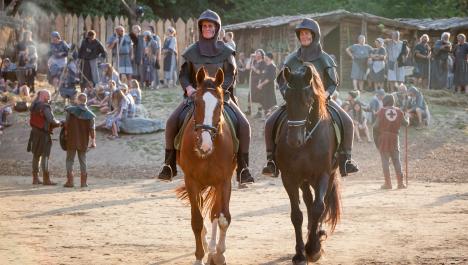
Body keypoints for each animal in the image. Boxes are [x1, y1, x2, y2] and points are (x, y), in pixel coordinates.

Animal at [176, 67, 236, 264]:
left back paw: (212, 249)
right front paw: (199, 256)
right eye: (196, 102)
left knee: (215, 213)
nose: (205, 144)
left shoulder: (224, 182)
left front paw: (219, 254)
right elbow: (197, 220)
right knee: (202, 212)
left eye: (220, 104)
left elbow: (223, 218)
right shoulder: (191, 182)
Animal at [276, 65, 342, 262]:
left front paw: (313, 249)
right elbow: (297, 215)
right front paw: (300, 252)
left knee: (321, 203)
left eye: (308, 100)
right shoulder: (289, 178)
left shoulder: (323, 175)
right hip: (304, 180)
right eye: (286, 98)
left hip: (329, 176)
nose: (293, 140)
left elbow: (319, 208)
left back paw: (317, 235)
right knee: (308, 201)